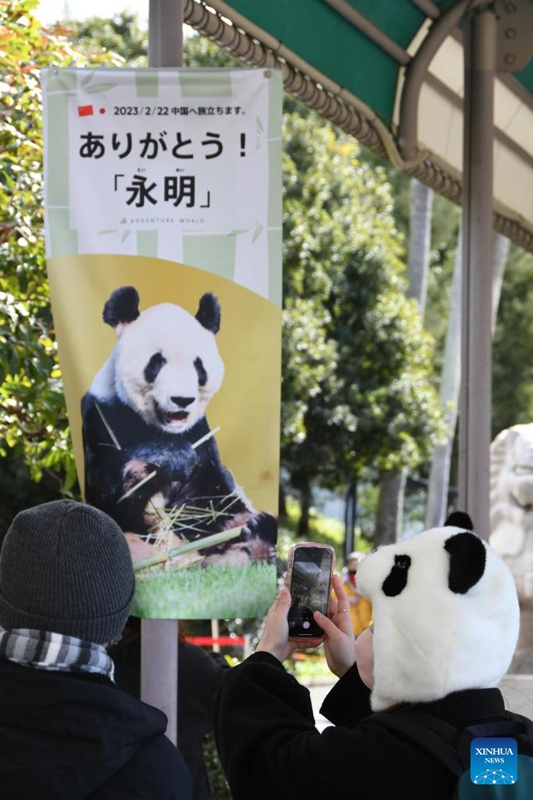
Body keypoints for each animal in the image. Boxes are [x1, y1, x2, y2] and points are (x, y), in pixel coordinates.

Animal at [81, 285, 277, 564]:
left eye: (199, 366)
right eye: (157, 361)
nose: (182, 400)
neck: (162, 430)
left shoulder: (200, 435)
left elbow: (207, 502)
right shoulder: (101, 414)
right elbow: (107, 487)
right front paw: (172, 458)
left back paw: (259, 539)